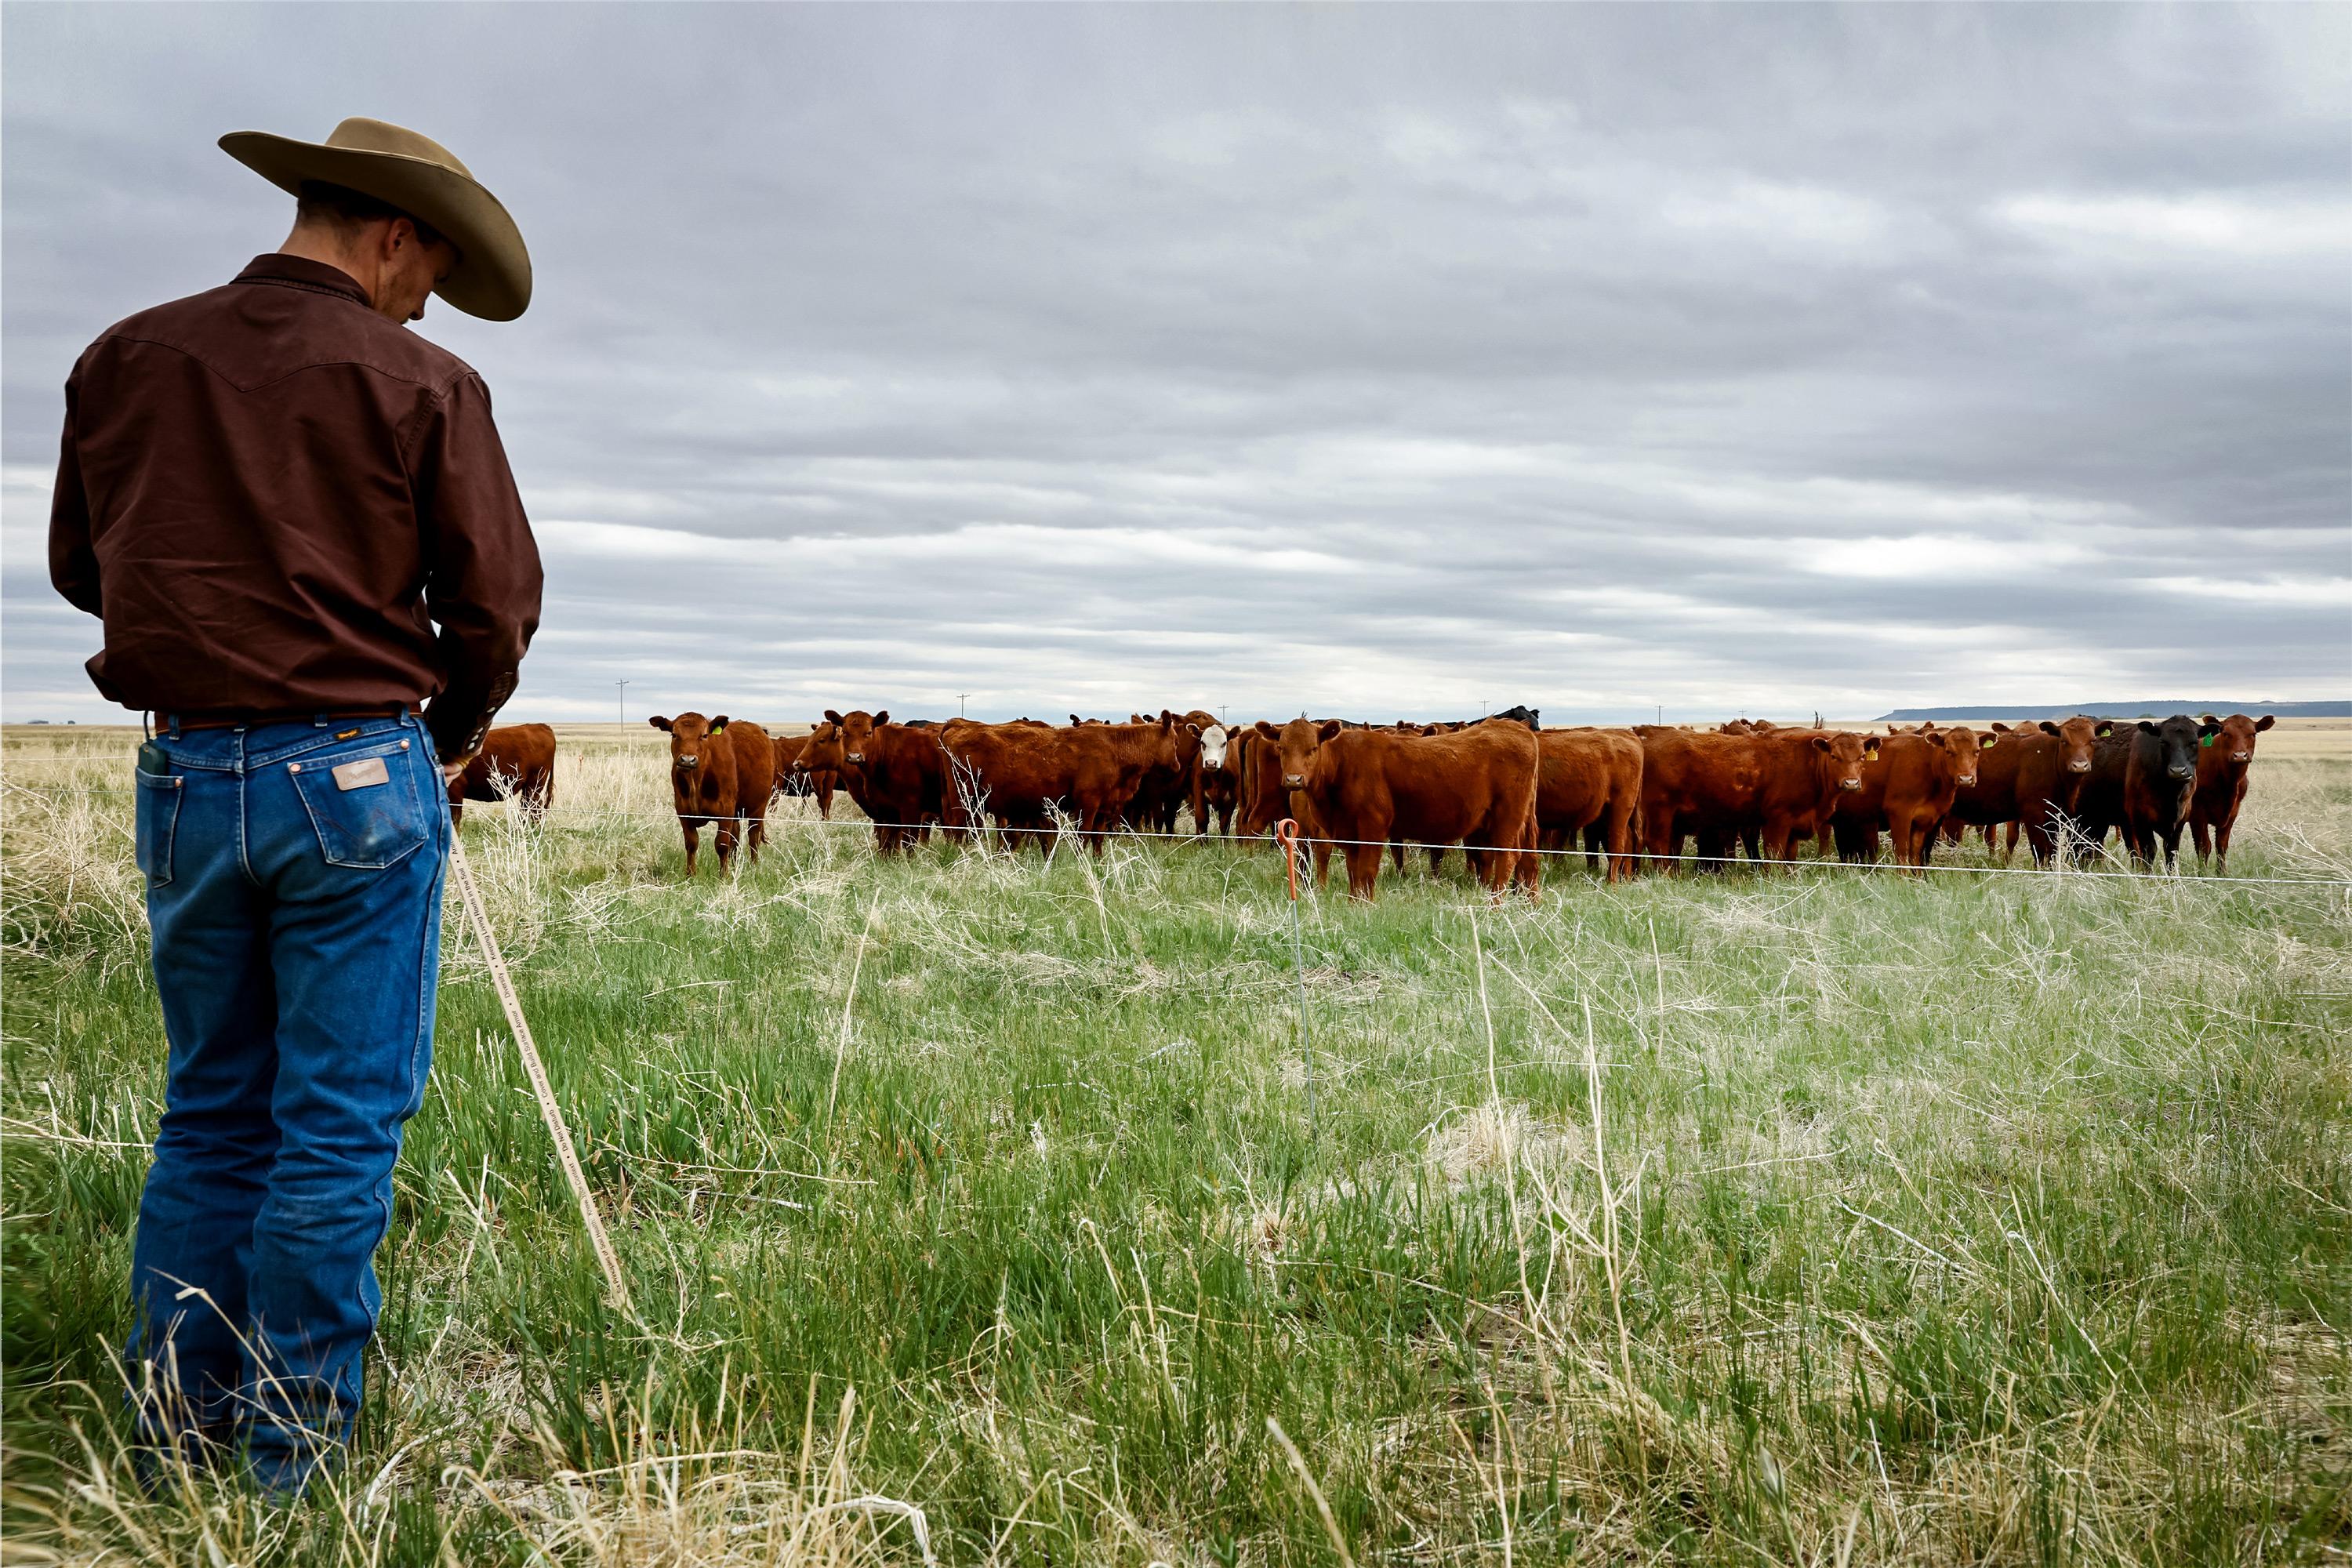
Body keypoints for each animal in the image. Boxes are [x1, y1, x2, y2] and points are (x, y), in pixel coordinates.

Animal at [649, 714, 776, 879]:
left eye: (704, 735)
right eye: (674, 735)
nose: (688, 760)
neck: (696, 781)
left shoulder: (726, 811)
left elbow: (722, 844)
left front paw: (724, 876)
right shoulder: (683, 810)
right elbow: (691, 843)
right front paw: (690, 874)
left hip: (759, 808)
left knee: (753, 838)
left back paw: (754, 866)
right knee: (735, 838)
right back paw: (734, 864)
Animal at [2183, 719, 2277, 879]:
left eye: (2253, 734)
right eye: (2226, 733)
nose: (2240, 755)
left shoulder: (2233, 812)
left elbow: (2221, 845)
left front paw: (2222, 873)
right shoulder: (2197, 814)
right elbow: (2204, 846)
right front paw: (2203, 875)